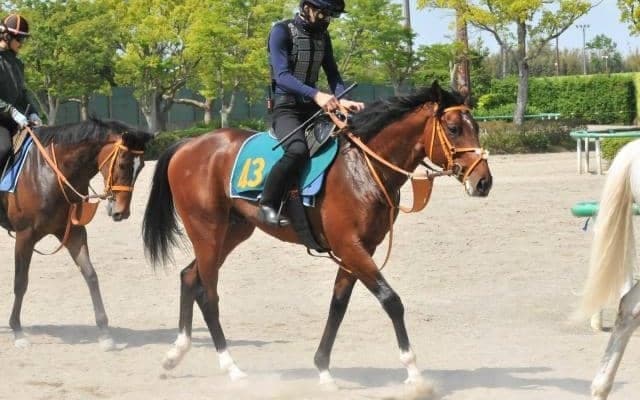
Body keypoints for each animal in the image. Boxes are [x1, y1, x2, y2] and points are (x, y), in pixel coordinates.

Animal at [0, 118, 153, 350]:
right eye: (123, 164)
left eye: (141, 166)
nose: (121, 212)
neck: (49, 173)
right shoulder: (24, 236)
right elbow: (20, 282)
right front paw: (17, 330)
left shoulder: (73, 233)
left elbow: (90, 275)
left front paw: (104, 332)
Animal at [142, 81, 493, 385]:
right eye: (454, 129)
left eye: (475, 126)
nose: (483, 182)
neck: (363, 167)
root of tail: (189, 143)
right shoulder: (350, 246)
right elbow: (391, 300)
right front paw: (414, 372)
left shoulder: (360, 249)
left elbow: (338, 305)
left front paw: (323, 368)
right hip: (208, 231)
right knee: (208, 294)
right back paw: (231, 368)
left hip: (232, 232)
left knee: (190, 277)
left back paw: (175, 354)